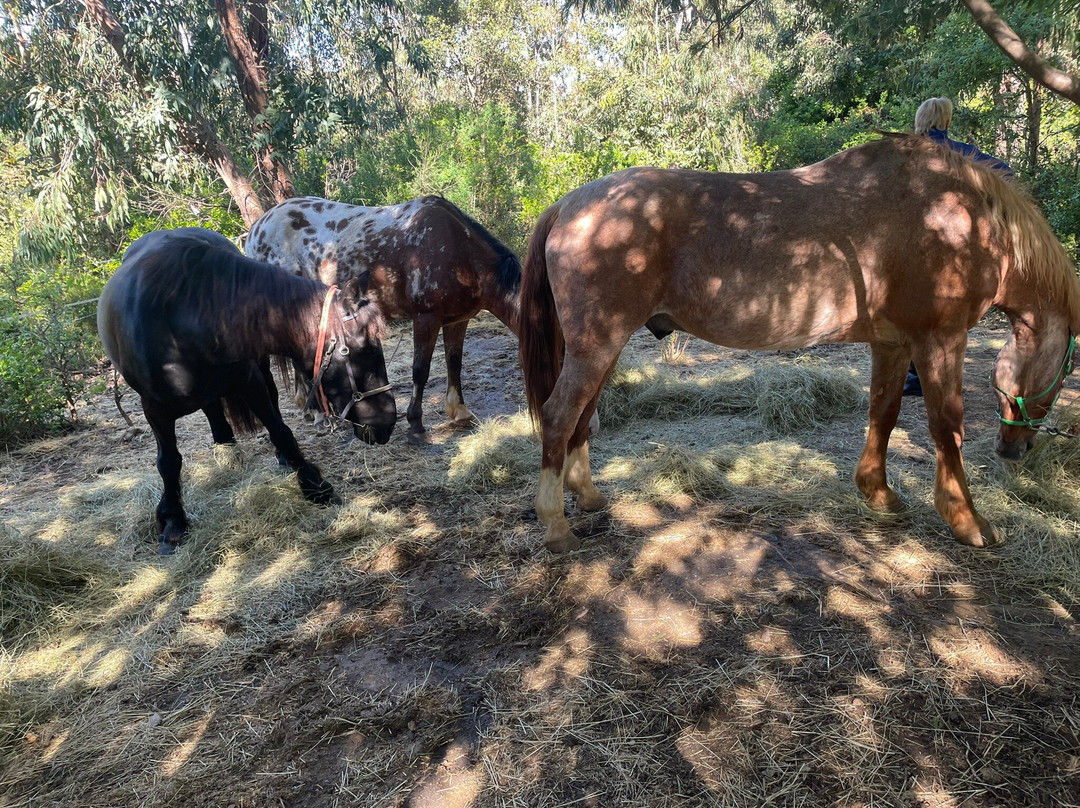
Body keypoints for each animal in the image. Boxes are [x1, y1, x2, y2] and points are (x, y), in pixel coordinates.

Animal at [97, 228, 397, 555]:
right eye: (364, 350)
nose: (388, 423)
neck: (185, 319)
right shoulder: (153, 408)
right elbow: (168, 462)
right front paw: (173, 522)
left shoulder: (249, 381)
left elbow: (281, 431)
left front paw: (314, 486)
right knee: (212, 409)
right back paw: (224, 446)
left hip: (261, 370)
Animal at [245, 196, 522, 443]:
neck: (459, 251)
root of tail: (255, 231)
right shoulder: (426, 319)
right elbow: (420, 371)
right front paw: (416, 427)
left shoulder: (457, 320)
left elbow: (454, 363)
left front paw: (460, 412)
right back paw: (318, 415)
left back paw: (312, 409)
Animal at [518, 134, 1080, 553]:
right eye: (1067, 371)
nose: (1014, 449)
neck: (954, 216)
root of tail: (567, 204)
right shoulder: (940, 339)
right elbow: (947, 428)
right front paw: (967, 521)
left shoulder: (893, 345)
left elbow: (884, 412)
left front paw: (878, 492)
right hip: (597, 346)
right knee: (559, 416)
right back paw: (556, 525)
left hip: (602, 349)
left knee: (581, 419)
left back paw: (588, 496)